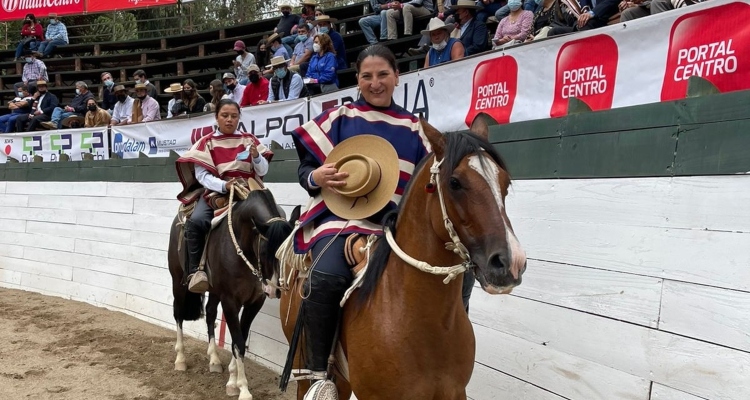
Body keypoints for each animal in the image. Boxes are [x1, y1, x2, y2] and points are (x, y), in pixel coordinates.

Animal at [169, 188, 292, 400]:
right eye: (265, 251)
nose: (274, 289)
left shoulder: (254, 302)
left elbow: (239, 337)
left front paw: (233, 380)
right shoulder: (230, 301)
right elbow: (239, 342)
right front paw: (243, 389)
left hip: (214, 291)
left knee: (210, 313)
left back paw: (214, 360)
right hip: (178, 282)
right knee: (178, 314)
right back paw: (180, 359)